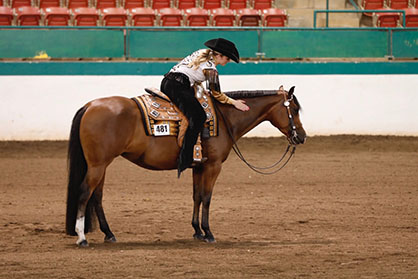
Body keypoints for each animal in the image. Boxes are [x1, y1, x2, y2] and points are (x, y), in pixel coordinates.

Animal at [66, 86, 306, 247]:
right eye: (294, 109)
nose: (301, 137)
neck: (223, 117)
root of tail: (89, 106)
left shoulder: (199, 166)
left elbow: (197, 196)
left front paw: (197, 231)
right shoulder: (213, 166)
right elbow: (207, 197)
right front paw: (208, 233)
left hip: (101, 165)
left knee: (97, 196)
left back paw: (109, 234)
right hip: (97, 165)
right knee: (84, 193)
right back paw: (82, 237)